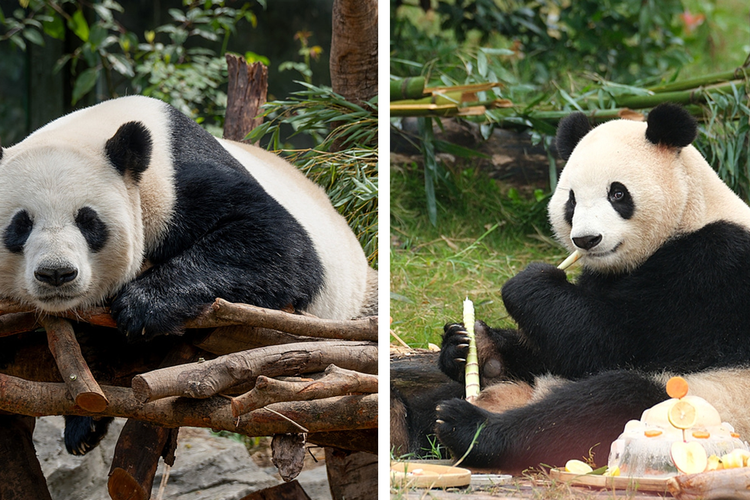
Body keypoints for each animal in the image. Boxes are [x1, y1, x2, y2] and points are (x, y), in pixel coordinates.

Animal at [0, 95, 377, 454]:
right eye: (20, 224)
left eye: (88, 220)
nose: (56, 273)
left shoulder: (177, 181)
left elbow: (280, 245)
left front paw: (142, 307)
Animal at [428, 103, 750, 473]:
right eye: (571, 200)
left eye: (618, 193)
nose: (586, 240)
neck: (691, 213)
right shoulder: (602, 276)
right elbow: (559, 347)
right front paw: (469, 343)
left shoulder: (716, 268)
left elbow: (614, 343)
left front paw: (529, 282)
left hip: (705, 400)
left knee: (604, 403)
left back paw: (468, 427)